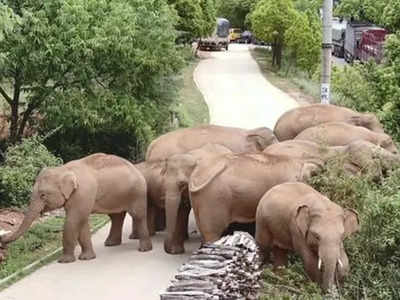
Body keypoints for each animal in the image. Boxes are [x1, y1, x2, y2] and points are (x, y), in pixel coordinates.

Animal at [0, 154, 152, 264]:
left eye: (43, 195)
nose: (3, 243)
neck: (64, 169)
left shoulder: (82, 193)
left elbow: (73, 221)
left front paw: (64, 261)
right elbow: (82, 222)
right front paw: (87, 258)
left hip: (137, 192)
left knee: (138, 215)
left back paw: (144, 249)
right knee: (116, 217)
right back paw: (111, 244)